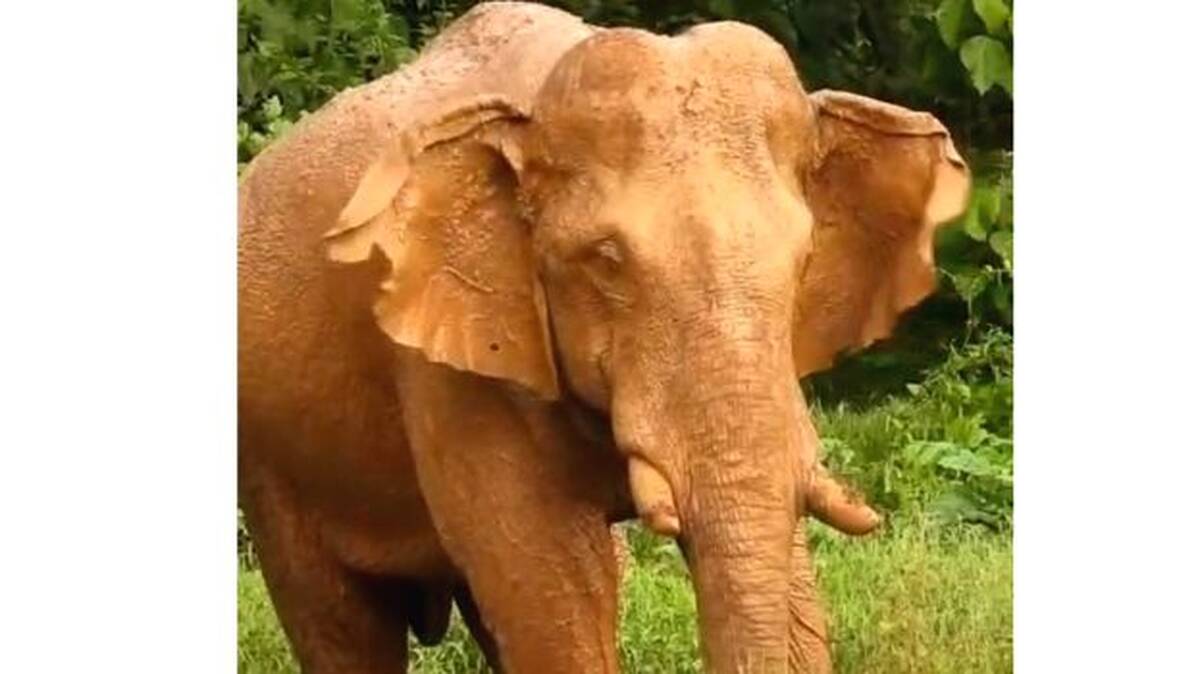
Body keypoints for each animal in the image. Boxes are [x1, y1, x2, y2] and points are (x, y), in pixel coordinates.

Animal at [237, 2, 969, 673]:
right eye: (606, 261)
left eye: (805, 256)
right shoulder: (451, 370)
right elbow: (552, 588)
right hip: (274, 463)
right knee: (341, 627)